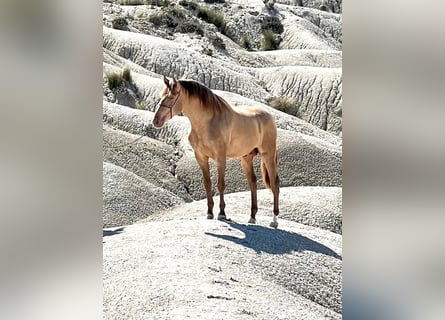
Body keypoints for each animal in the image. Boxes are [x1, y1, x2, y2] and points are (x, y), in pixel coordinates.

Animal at [151, 76, 280, 228]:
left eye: (171, 97)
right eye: (161, 96)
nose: (156, 121)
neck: (207, 123)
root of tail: (269, 116)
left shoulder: (220, 157)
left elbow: (220, 184)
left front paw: (222, 213)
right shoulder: (201, 157)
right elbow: (207, 184)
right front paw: (209, 213)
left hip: (268, 155)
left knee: (274, 183)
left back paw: (274, 220)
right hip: (246, 158)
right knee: (253, 183)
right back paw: (252, 217)